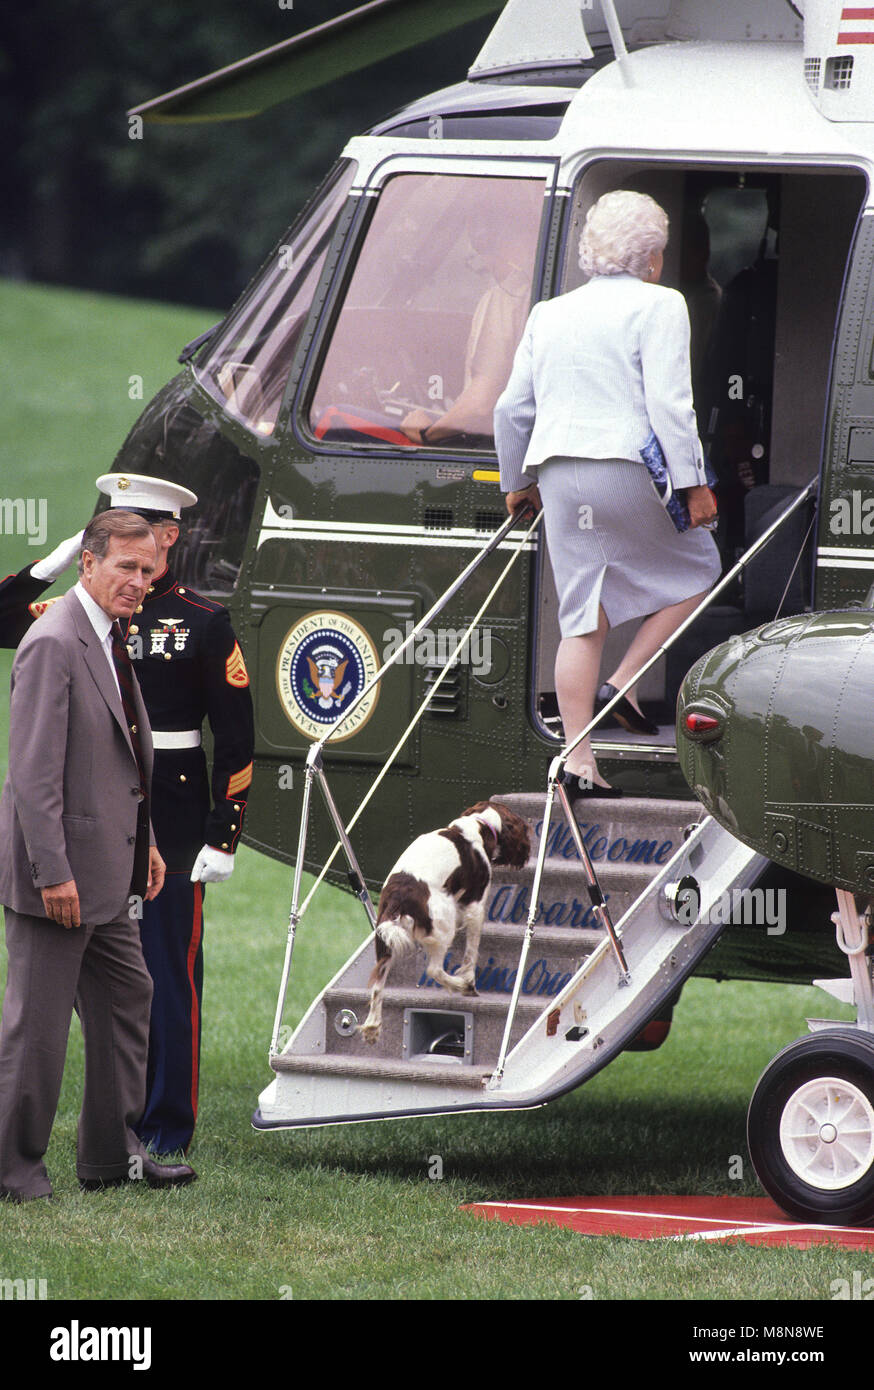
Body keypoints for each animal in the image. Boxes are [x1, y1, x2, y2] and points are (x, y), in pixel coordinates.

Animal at [358, 806, 528, 1045]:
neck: (479, 822)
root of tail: (399, 897)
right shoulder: (476, 907)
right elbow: (471, 952)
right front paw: (468, 979)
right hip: (444, 923)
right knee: (434, 969)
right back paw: (463, 986)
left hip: (383, 937)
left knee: (377, 985)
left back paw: (372, 1027)